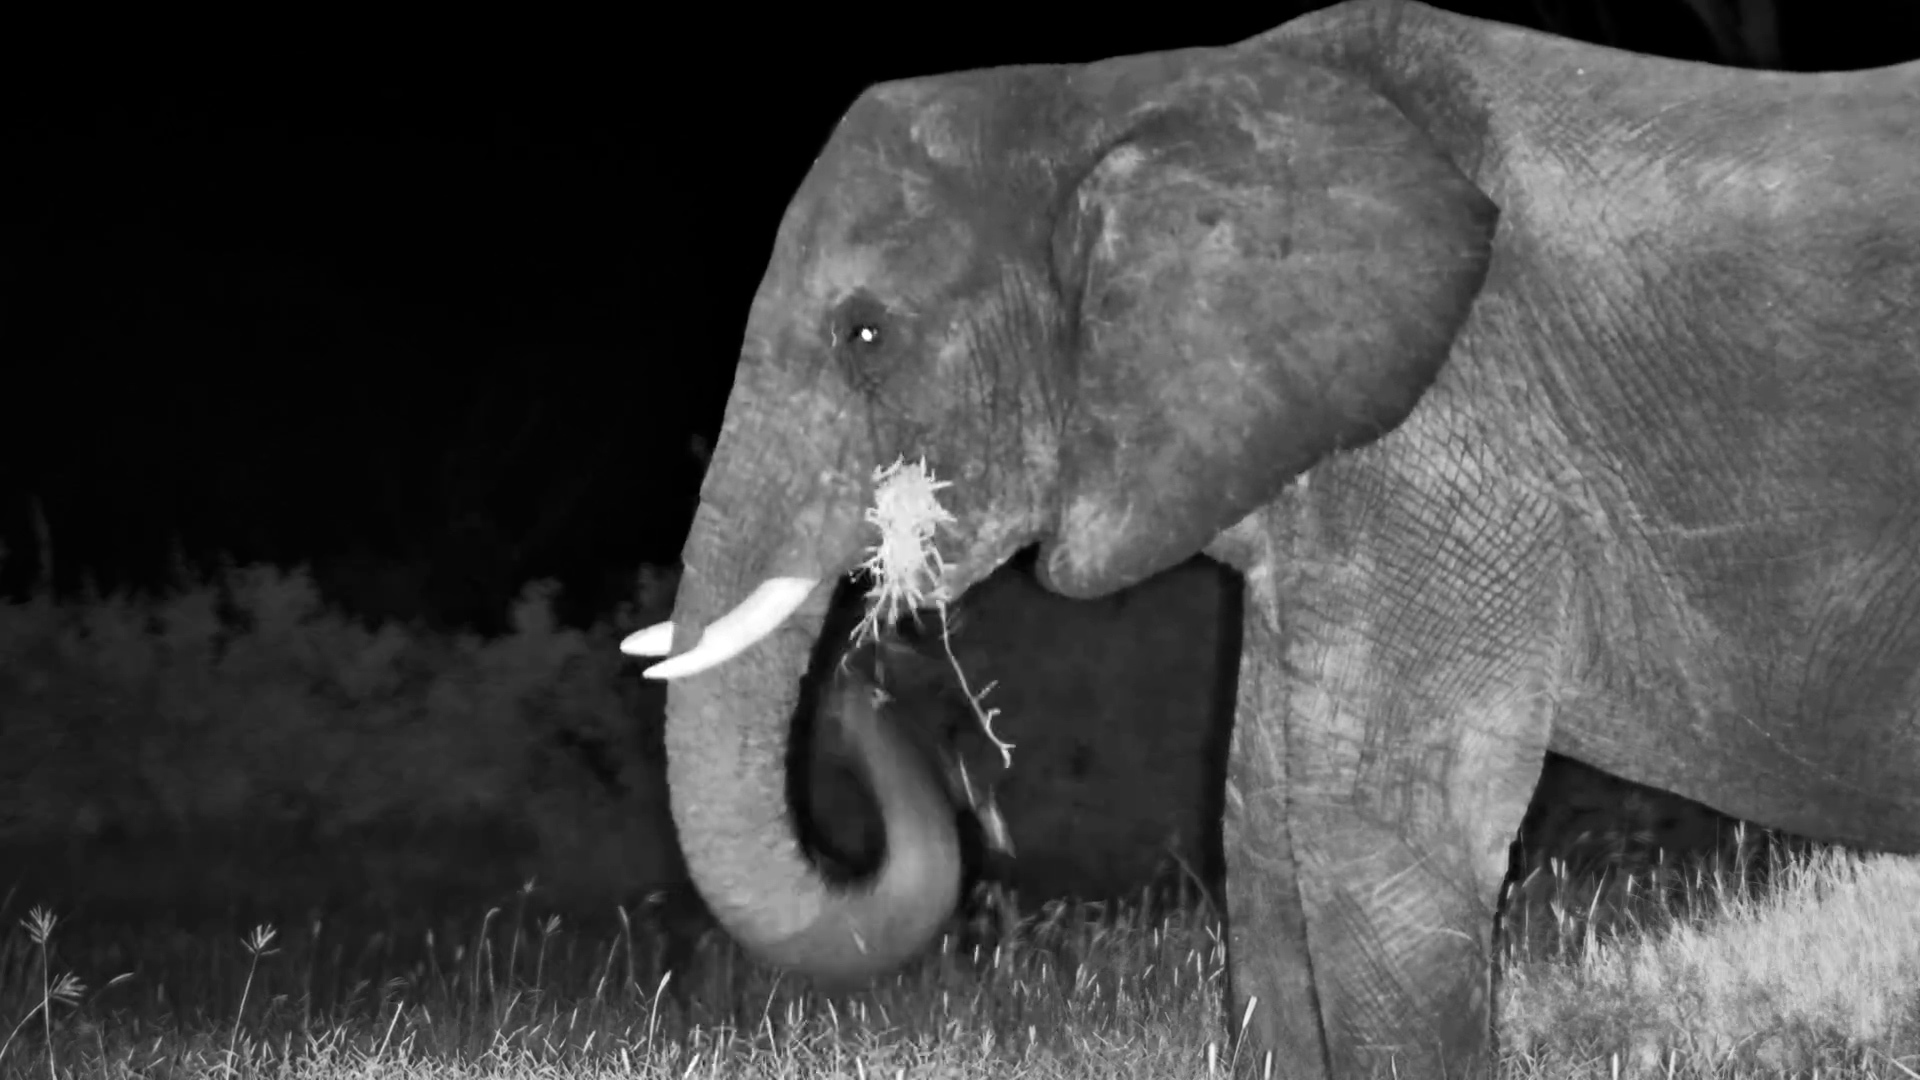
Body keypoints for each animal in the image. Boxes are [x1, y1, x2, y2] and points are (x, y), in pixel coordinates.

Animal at [624, 1, 1920, 1075]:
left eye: (866, 336)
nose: (871, 690)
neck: (1124, 91)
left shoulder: (1446, 436)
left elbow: (1381, 841)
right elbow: (1262, 834)